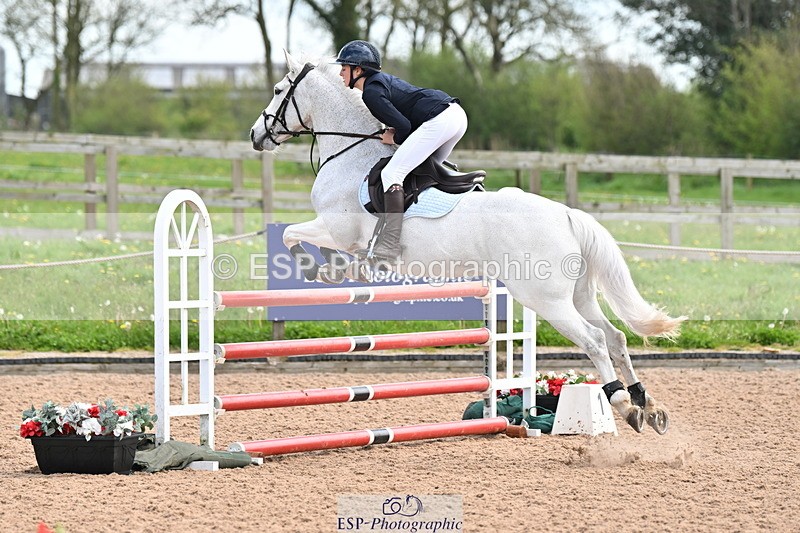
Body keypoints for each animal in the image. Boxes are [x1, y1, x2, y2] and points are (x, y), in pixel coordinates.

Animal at [249, 51, 686, 434]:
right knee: (614, 337)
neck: (351, 152)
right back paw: (647, 404)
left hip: (545, 299)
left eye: (277, 89)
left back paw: (622, 403)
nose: (256, 136)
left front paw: (319, 270)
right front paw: (331, 269)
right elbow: (299, 238)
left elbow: (291, 234)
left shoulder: (336, 230)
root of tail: (566, 214)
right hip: (578, 295)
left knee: (595, 341)